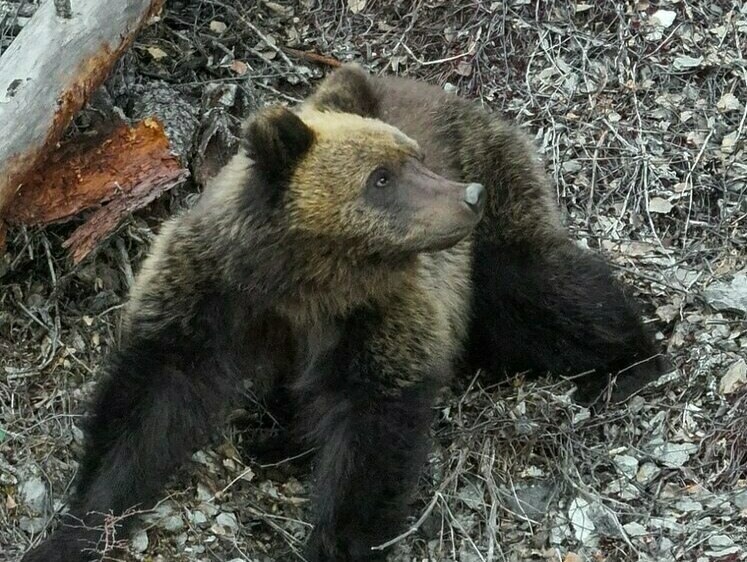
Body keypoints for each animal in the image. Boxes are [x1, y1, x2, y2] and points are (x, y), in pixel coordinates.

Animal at [20, 62, 668, 560]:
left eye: (413, 157)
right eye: (380, 177)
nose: (467, 196)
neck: (305, 282)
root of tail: (458, 98)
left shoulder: (379, 316)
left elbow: (370, 435)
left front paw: (336, 540)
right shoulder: (211, 297)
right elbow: (147, 406)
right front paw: (75, 529)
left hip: (495, 222)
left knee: (544, 291)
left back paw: (631, 359)